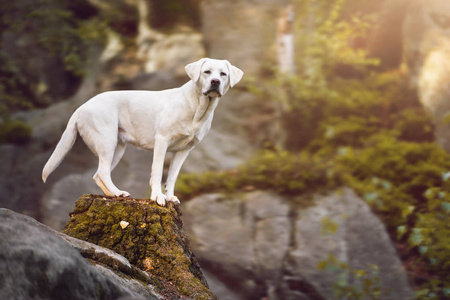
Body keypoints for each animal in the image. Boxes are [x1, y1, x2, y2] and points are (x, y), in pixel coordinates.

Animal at [43, 57, 243, 205]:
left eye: (223, 74)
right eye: (207, 72)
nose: (215, 81)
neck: (197, 107)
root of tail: (82, 106)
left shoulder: (184, 151)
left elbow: (172, 176)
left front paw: (169, 196)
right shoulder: (162, 141)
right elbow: (157, 172)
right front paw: (158, 197)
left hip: (118, 149)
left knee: (98, 174)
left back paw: (114, 194)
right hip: (107, 142)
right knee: (102, 172)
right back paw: (117, 193)